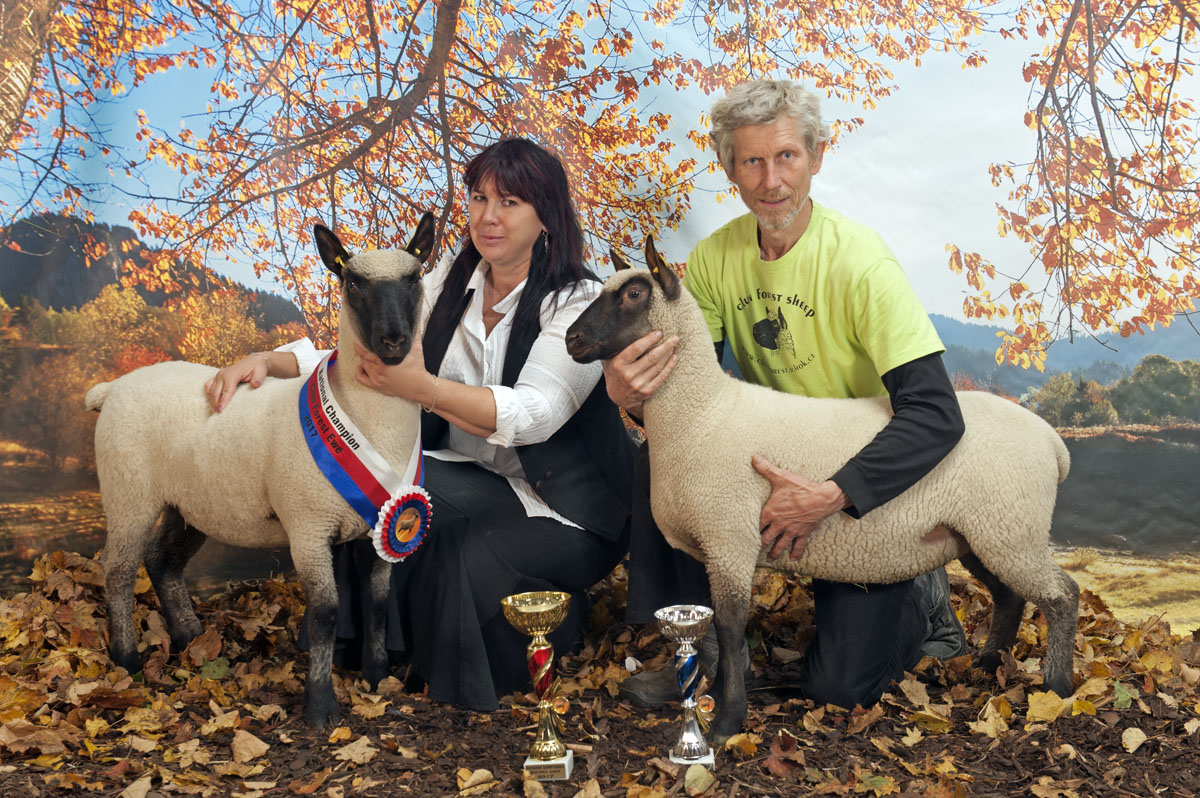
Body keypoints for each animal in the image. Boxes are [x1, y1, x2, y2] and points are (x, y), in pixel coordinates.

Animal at [84, 214, 435, 728]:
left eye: (414, 278)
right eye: (352, 283)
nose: (393, 341)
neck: (367, 420)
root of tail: (112, 388)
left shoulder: (379, 525)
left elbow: (376, 603)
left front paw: (376, 678)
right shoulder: (308, 526)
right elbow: (325, 612)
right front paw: (320, 707)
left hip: (190, 501)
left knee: (162, 560)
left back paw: (190, 637)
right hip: (128, 490)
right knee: (118, 569)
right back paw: (127, 661)